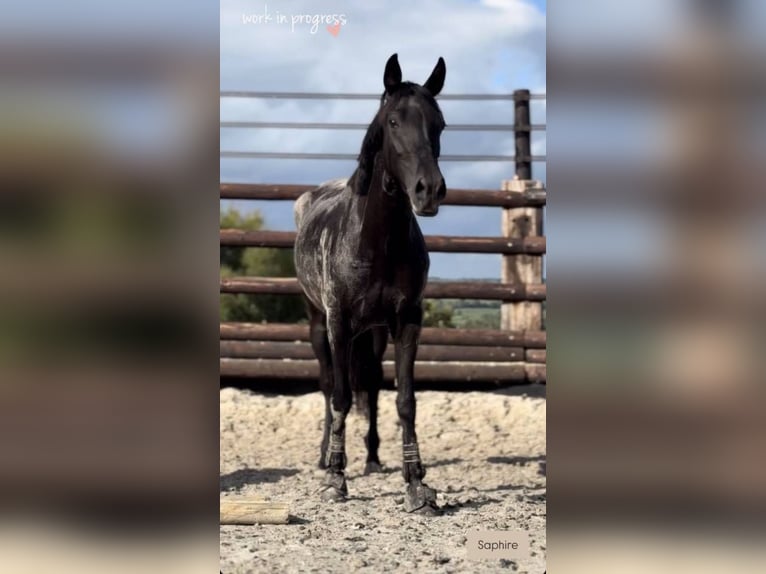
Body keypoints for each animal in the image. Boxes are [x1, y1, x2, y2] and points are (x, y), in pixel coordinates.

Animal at [293, 53, 447, 514]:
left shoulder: (407, 321)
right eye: (393, 121)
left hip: (374, 334)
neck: (377, 241)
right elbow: (341, 396)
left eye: (440, 124)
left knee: (374, 388)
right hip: (318, 324)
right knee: (329, 386)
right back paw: (325, 456)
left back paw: (374, 459)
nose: (429, 190)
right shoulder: (339, 323)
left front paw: (416, 483)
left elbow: (405, 400)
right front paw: (335, 478)